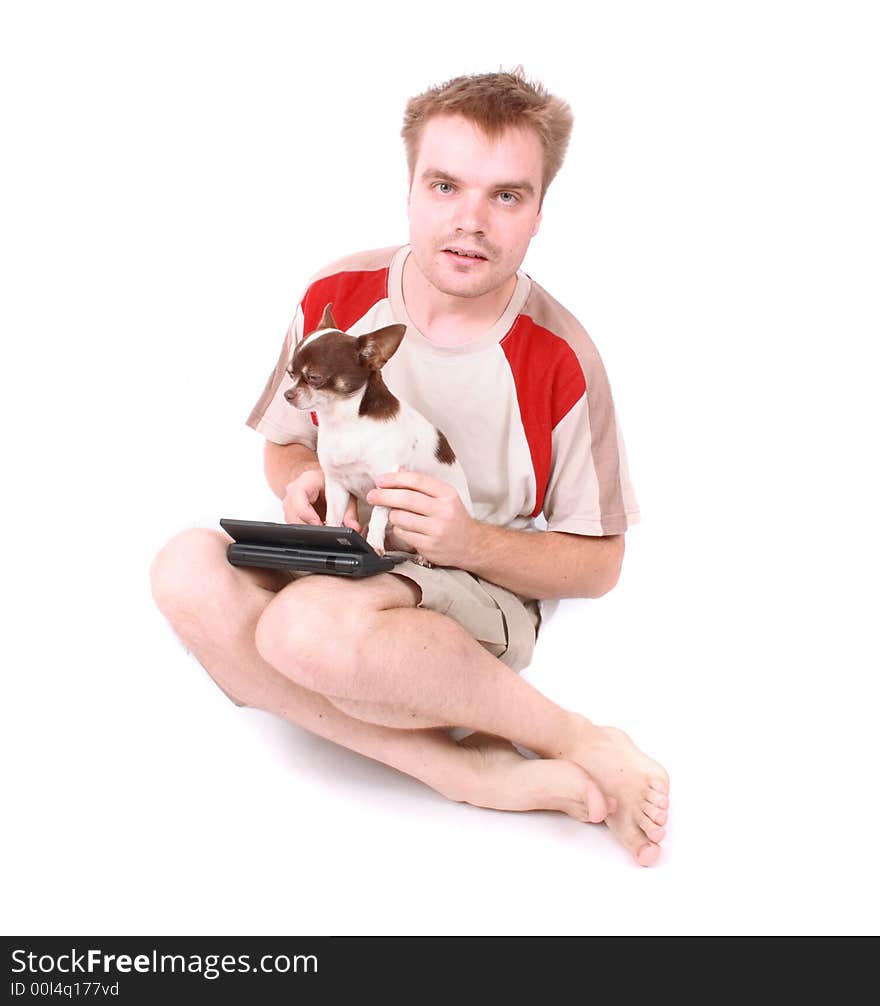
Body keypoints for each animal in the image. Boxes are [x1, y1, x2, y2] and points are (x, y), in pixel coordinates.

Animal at [285, 303, 470, 559]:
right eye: (289, 373)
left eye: (314, 377)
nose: (287, 394)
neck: (345, 423)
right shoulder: (336, 486)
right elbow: (333, 516)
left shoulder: (386, 486)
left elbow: (378, 518)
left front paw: (373, 546)